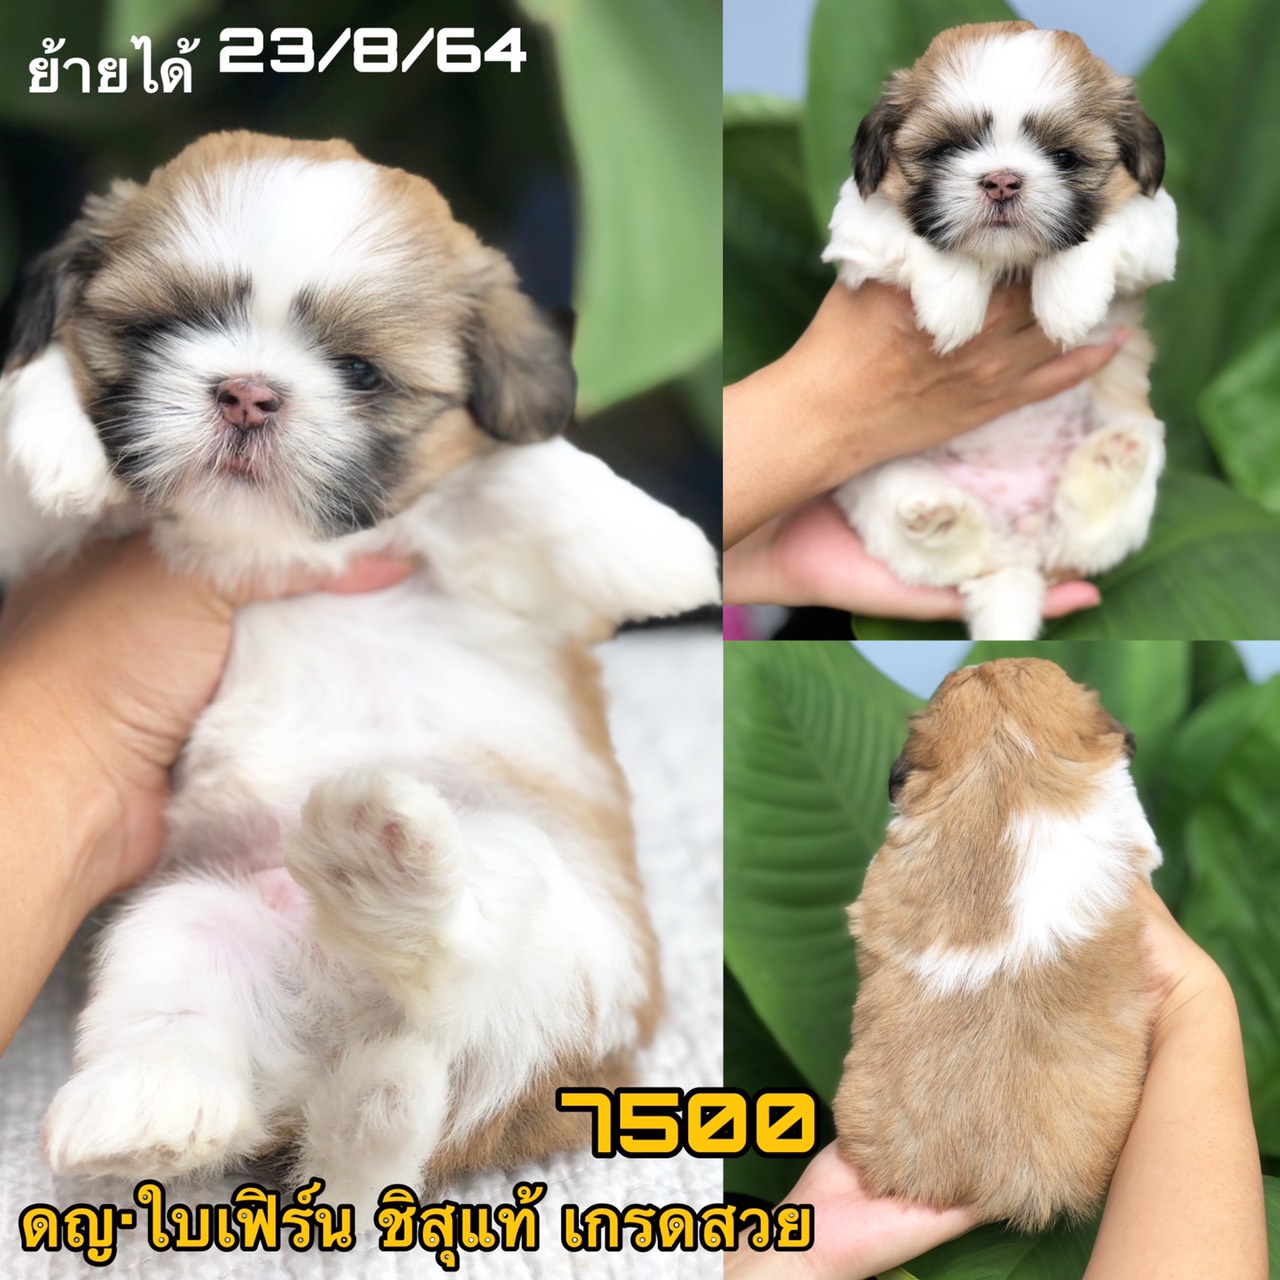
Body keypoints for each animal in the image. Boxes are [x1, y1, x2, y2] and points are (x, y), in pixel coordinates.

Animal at [0, 131, 720, 1210]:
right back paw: (147, 1104)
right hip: (185, 917)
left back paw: (378, 862)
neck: (257, 548)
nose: (247, 390)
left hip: (541, 893)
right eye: (165, 326)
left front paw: (661, 543)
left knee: (455, 958)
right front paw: (54, 437)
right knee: (195, 1013)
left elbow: (511, 475)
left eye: (359, 370)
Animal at [822, 22, 1177, 639]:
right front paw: (951, 300)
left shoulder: (1156, 223)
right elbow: (906, 231)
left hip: (1133, 462)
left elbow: (1107, 229)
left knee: (1088, 528)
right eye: (946, 150)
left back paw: (1111, 459)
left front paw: (1069, 299)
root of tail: (1021, 551)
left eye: (1064, 157)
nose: (1002, 181)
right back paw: (939, 515)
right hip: (876, 476)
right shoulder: (856, 225)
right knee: (952, 545)